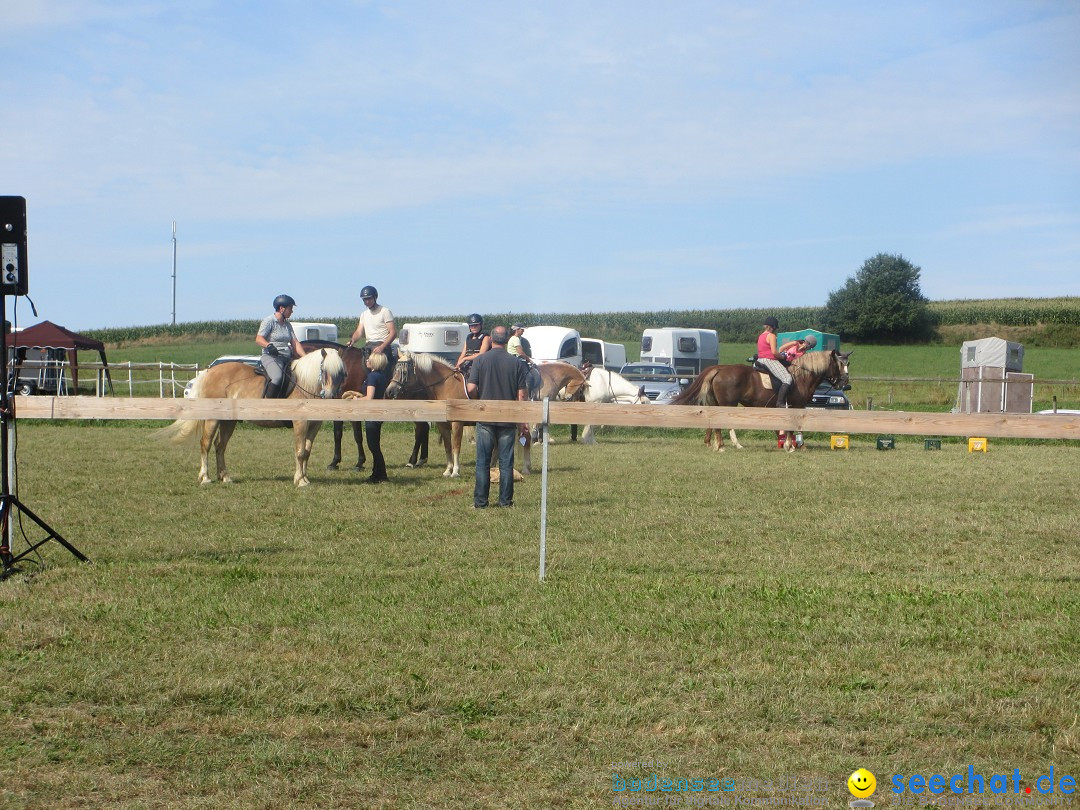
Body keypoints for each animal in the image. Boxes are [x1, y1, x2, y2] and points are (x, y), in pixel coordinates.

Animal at [673, 347, 851, 451]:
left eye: (848, 364)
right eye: (839, 365)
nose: (844, 383)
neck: (803, 375)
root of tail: (720, 369)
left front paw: (793, 445)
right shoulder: (796, 405)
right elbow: (793, 427)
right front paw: (791, 446)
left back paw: (716, 444)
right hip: (727, 404)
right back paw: (728, 445)